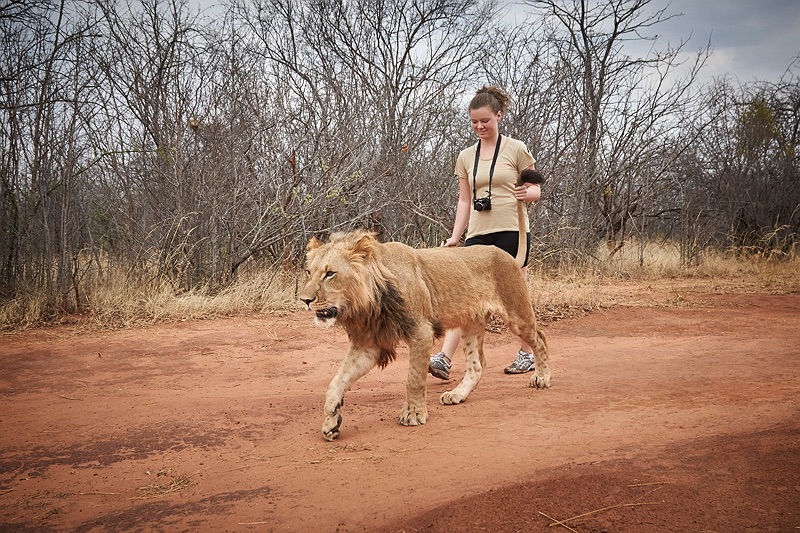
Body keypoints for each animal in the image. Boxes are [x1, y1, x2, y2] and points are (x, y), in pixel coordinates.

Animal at [299, 230, 550, 441]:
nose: (304, 300)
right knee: (477, 364)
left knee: (540, 339)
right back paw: (457, 394)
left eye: (330, 274)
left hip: (516, 312)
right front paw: (331, 419)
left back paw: (542, 378)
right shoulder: (368, 345)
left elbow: (414, 378)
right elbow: (337, 380)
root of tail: (509, 257)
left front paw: (413, 414)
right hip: (471, 323)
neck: (368, 301)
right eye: (309, 272)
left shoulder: (421, 331)